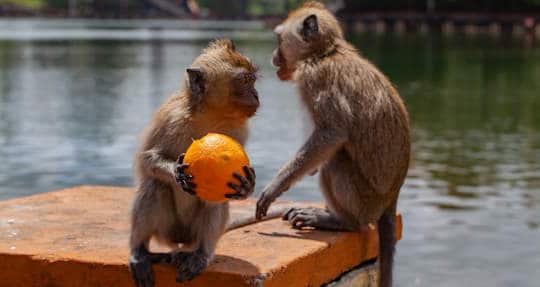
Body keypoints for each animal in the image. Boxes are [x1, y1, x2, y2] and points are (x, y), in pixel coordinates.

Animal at [127, 39, 264, 287]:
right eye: (244, 81)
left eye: (253, 81)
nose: (256, 95)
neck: (208, 114)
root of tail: (181, 239)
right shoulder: (171, 118)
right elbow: (147, 161)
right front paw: (176, 172)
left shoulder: (239, 130)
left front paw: (247, 187)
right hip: (166, 230)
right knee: (154, 185)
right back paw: (140, 251)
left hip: (192, 233)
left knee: (215, 199)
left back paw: (201, 254)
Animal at [255, 2, 412, 287]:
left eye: (279, 40)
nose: (273, 56)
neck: (324, 54)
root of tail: (391, 198)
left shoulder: (315, 78)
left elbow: (332, 134)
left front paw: (275, 187)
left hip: (365, 202)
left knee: (337, 160)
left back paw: (342, 221)